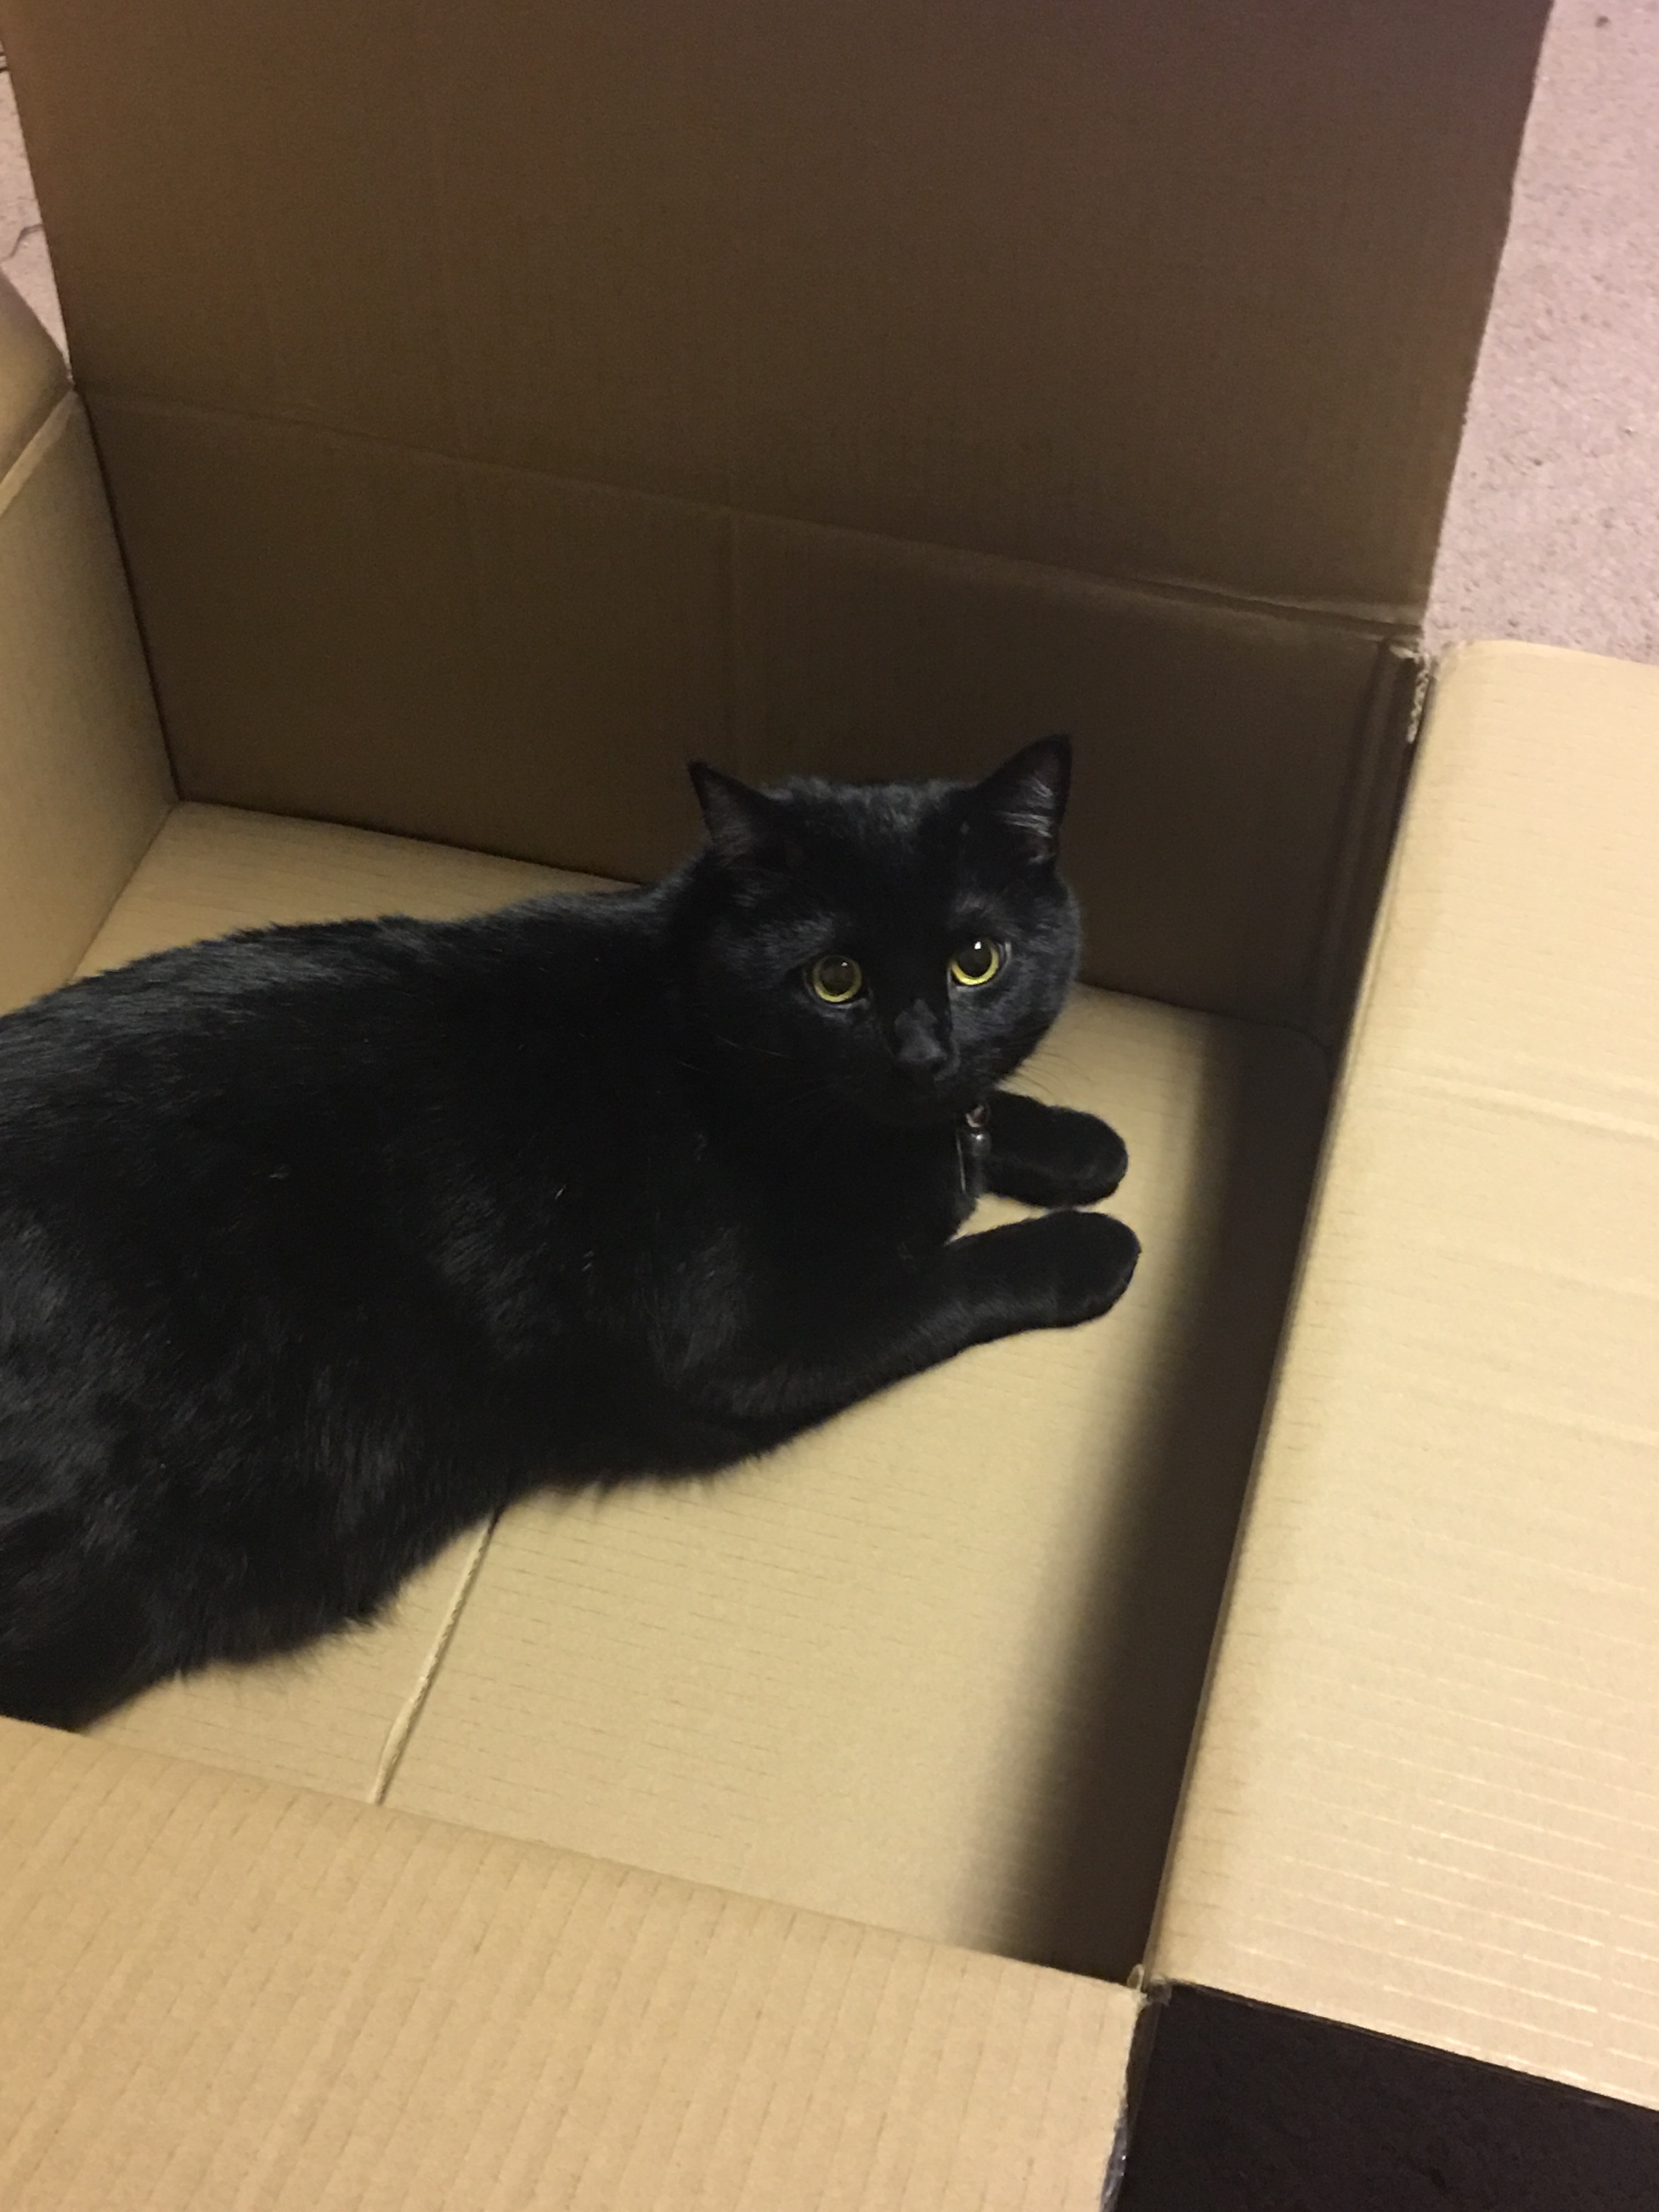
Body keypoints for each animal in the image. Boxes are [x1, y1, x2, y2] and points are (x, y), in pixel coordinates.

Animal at [0, 738, 1141, 1725]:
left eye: (977, 961)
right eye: (835, 980)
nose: (920, 1055)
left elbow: (985, 1126)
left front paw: (1078, 1142)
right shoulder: (745, 1348)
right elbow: (952, 1276)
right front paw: (1086, 1243)